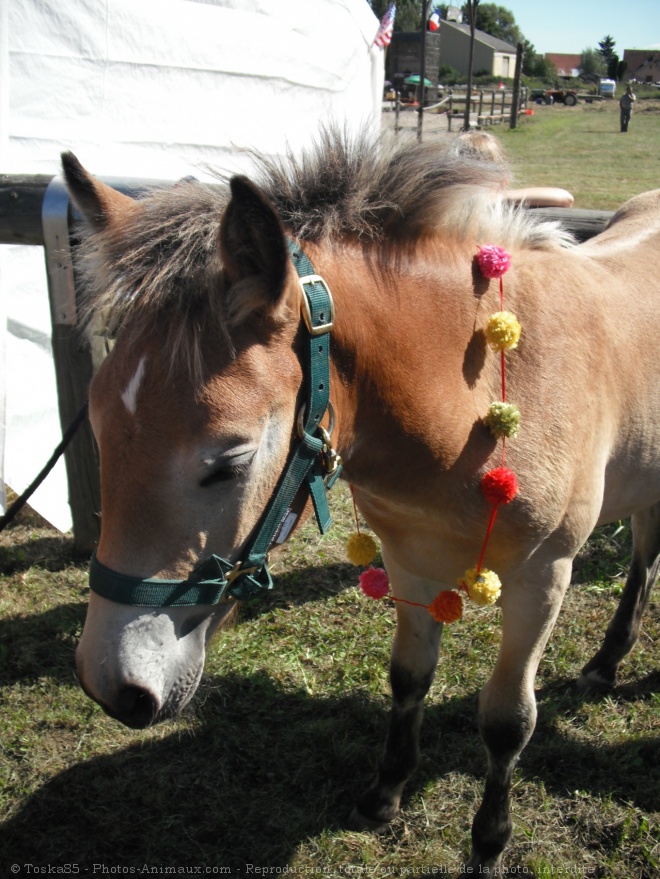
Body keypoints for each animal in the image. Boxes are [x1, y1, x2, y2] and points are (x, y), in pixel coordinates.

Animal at [62, 127, 660, 876]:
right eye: (98, 426)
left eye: (229, 459)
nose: (113, 686)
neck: (468, 409)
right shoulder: (409, 562)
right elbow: (408, 678)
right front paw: (384, 794)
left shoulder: (543, 580)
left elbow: (507, 722)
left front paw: (488, 843)